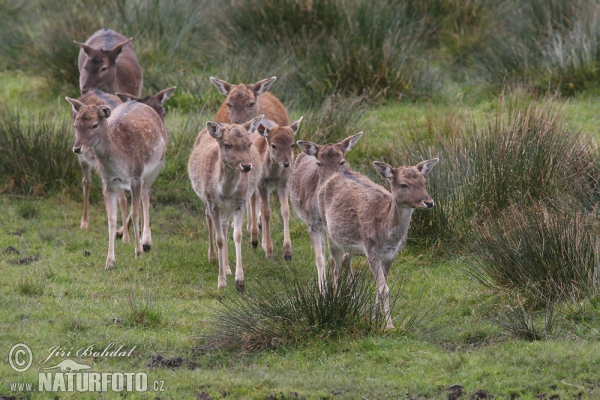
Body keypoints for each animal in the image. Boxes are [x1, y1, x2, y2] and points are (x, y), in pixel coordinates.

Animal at [66, 98, 168, 270]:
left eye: (94, 125)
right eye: (75, 125)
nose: (77, 148)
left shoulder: (136, 178)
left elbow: (135, 213)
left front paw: (138, 252)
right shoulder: (108, 184)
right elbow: (111, 219)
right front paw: (109, 261)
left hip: (156, 167)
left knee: (146, 195)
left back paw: (146, 242)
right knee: (144, 196)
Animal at [186, 114, 264, 292]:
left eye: (249, 144)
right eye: (227, 145)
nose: (247, 166)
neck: (225, 192)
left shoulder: (240, 202)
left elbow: (237, 234)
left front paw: (239, 280)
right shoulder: (212, 203)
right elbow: (219, 239)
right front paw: (221, 282)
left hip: (227, 208)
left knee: (224, 225)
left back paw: (228, 268)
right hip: (206, 200)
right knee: (209, 218)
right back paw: (213, 257)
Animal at [247, 116, 302, 260]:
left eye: (292, 145)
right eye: (273, 145)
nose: (286, 163)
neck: (273, 175)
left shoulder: (284, 182)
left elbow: (285, 210)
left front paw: (287, 252)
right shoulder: (261, 183)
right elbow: (267, 212)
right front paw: (269, 252)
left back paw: (262, 241)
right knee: (253, 199)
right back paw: (254, 240)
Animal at [290, 133, 364, 292]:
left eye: (342, 162)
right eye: (319, 163)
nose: (332, 183)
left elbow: (343, 258)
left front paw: (348, 291)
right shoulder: (312, 224)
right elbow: (320, 259)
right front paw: (323, 292)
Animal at [316, 157, 438, 328]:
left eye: (424, 181)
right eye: (403, 184)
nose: (429, 202)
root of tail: (333, 176)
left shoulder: (391, 255)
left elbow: (380, 286)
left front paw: (375, 320)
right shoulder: (371, 250)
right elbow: (384, 289)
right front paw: (389, 326)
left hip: (349, 245)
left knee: (345, 260)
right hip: (329, 232)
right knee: (334, 269)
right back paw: (335, 305)